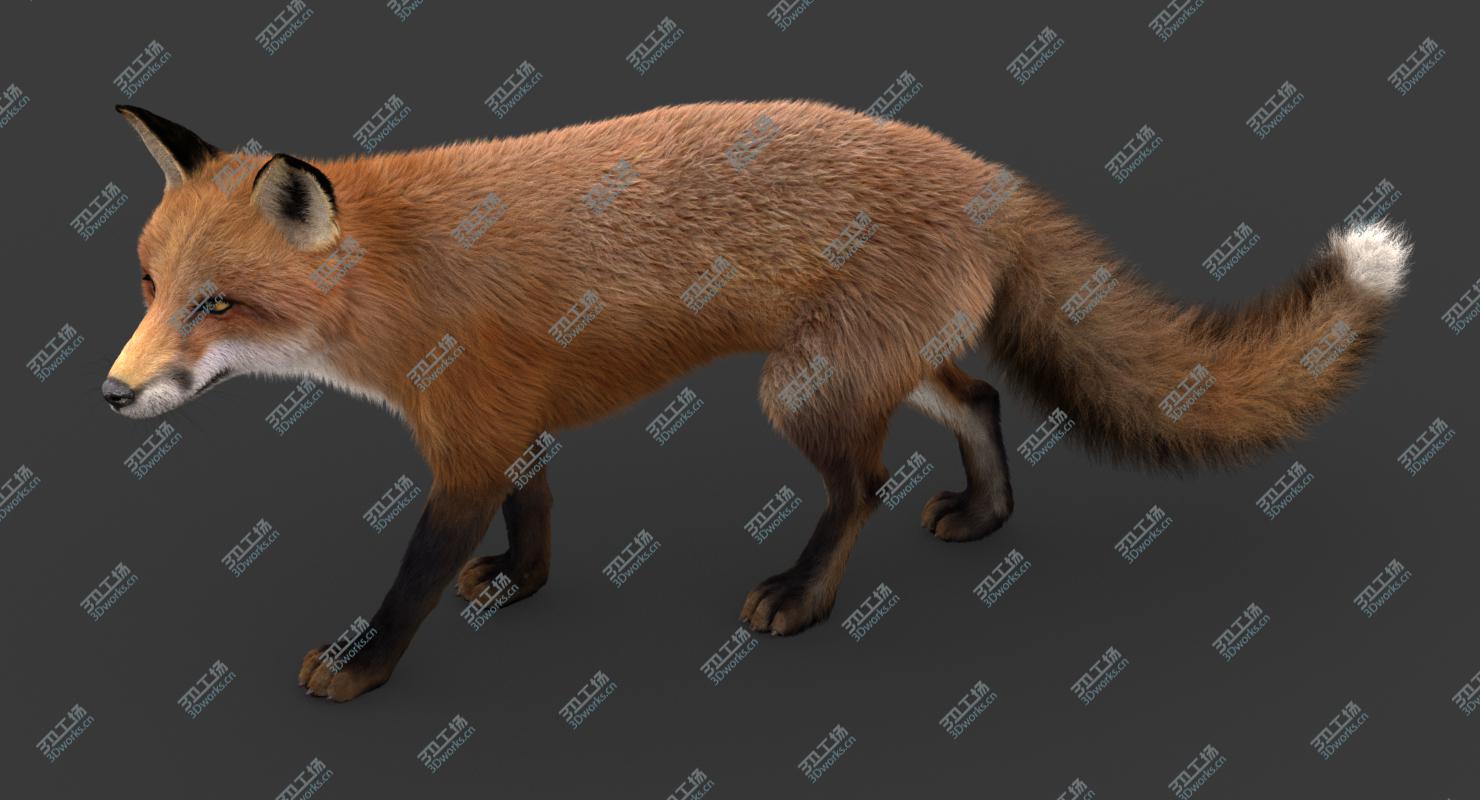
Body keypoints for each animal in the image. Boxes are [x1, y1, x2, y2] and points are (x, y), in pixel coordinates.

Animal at [104, 100, 1410, 701]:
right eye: (150, 284)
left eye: (219, 303)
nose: (113, 391)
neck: (396, 274)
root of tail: (983, 172)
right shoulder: (511, 418)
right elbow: (535, 515)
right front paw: (521, 583)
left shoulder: (465, 437)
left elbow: (415, 573)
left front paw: (364, 661)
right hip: (879, 363)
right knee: (983, 397)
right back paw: (984, 514)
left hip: (803, 389)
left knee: (864, 484)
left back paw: (804, 595)